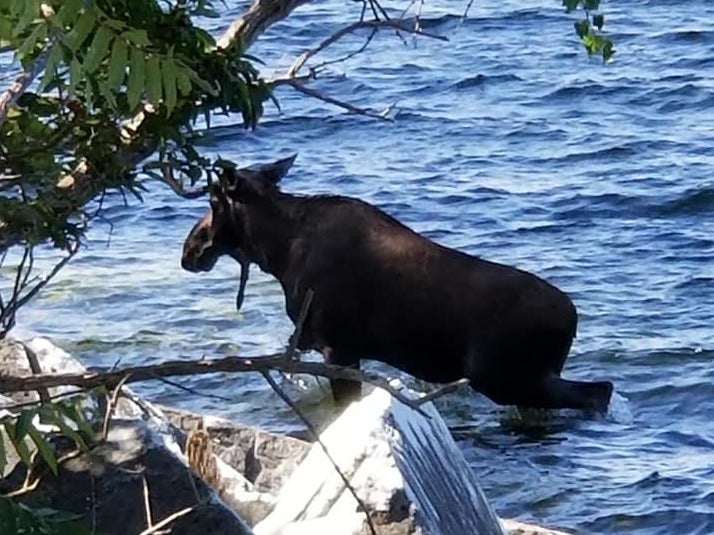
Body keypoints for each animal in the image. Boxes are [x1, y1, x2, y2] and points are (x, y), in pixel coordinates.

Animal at [182, 155, 612, 414]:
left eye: (215, 202)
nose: (191, 249)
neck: (278, 253)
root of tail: (573, 320)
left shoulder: (338, 347)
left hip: (507, 379)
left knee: (597, 393)